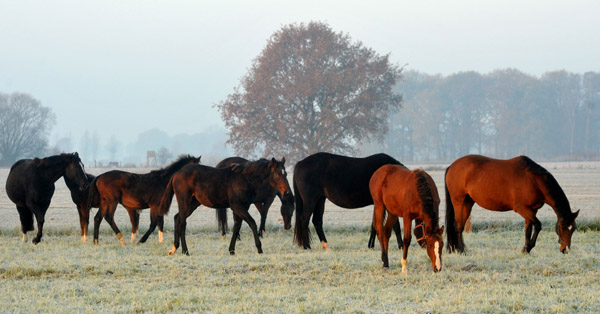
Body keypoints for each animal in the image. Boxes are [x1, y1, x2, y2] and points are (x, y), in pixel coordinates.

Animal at [155, 158, 292, 256]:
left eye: (285, 173)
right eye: (277, 174)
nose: (286, 192)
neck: (245, 178)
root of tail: (176, 174)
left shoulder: (244, 206)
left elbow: (237, 226)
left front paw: (231, 250)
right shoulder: (237, 205)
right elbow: (252, 223)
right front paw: (259, 248)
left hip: (193, 203)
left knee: (177, 218)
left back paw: (174, 249)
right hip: (184, 201)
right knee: (182, 223)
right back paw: (185, 251)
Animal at [442, 155, 580, 255]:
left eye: (573, 228)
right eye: (562, 227)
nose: (565, 249)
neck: (533, 180)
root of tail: (452, 166)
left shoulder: (532, 210)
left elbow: (528, 229)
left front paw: (525, 249)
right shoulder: (521, 208)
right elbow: (538, 225)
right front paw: (529, 247)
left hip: (468, 203)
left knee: (460, 226)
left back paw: (458, 249)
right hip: (459, 202)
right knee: (458, 226)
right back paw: (460, 250)